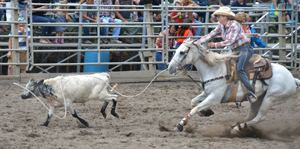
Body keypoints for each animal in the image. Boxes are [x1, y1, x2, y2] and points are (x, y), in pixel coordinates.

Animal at [169, 38, 300, 134]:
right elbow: (194, 102)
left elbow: (195, 108)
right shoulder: (206, 93)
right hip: (258, 99)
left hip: (270, 99)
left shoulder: (214, 97)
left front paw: (180, 125)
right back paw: (235, 126)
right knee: (251, 115)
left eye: (182, 52)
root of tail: (292, 78)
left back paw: (236, 128)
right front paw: (206, 112)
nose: (170, 68)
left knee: (259, 117)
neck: (214, 69)